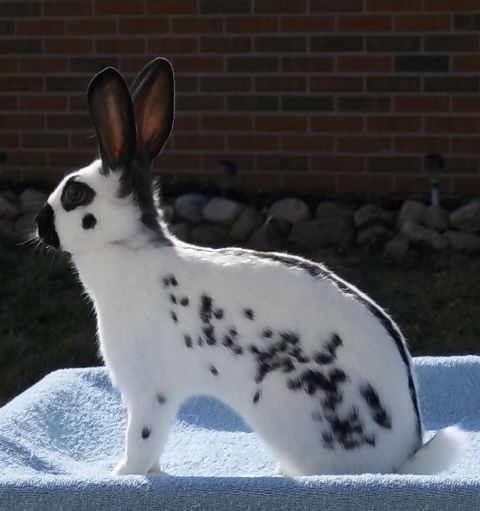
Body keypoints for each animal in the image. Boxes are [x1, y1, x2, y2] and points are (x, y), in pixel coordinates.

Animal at [33, 58, 464, 478]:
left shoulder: (149, 392)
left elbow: (142, 438)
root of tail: (403, 457)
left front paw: (124, 474)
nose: (39, 224)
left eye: (75, 194)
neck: (125, 247)